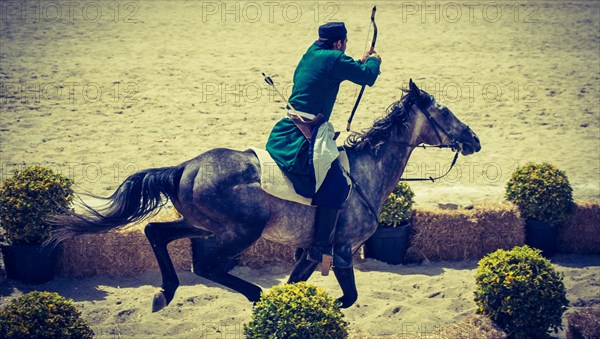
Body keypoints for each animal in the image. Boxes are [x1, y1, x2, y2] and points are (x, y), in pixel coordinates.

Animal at [51, 80, 482, 314]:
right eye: (445, 111)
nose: (474, 139)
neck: (365, 173)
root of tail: (187, 166)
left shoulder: (311, 254)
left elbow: (297, 284)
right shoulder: (342, 249)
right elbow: (349, 297)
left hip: (201, 226)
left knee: (157, 233)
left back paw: (166, 292)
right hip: (240, 232)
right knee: (205, 266)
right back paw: (254, 294)